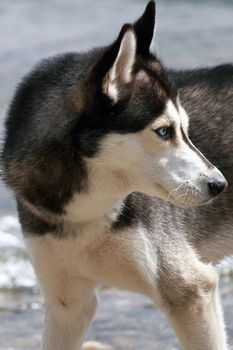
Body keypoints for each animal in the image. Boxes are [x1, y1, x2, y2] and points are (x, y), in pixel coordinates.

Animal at [2, 2, 233, 350]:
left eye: (185, 129)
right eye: (164, 131)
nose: (219, 185)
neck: (88, 212)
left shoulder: (191, 290)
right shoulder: (68, 305)